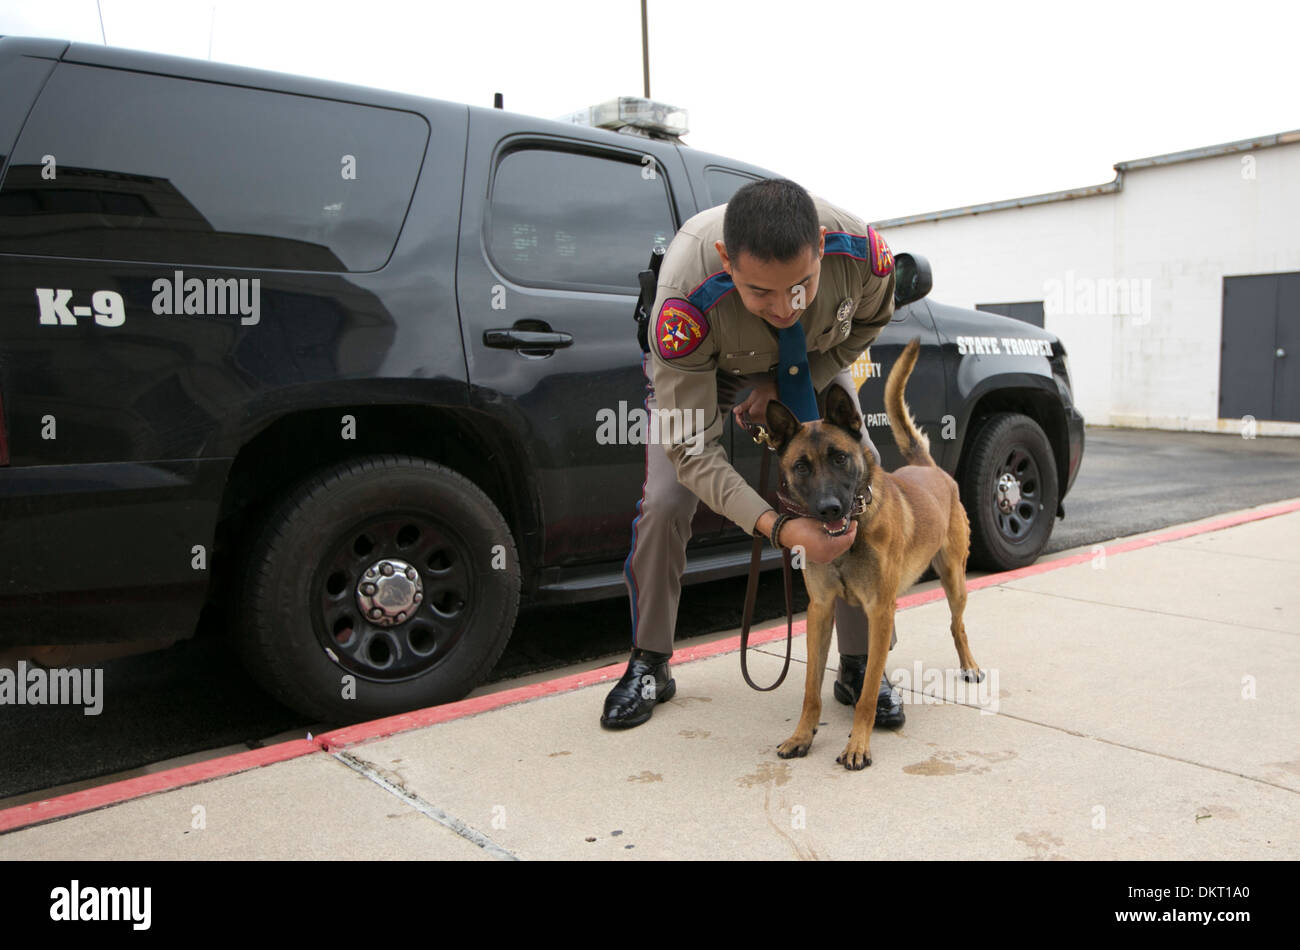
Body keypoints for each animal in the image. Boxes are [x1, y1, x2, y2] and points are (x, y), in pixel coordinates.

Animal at [764, 337, 977, 769]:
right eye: (801, 466)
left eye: (840, 457)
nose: (829, 509)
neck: (853, 532)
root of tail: (930, 469)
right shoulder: (820, 610)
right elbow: (810, 689)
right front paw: (802, 736)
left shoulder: (880, 610)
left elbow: (865, 695)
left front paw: (858, 744)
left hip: (954, 579)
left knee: (957, 624)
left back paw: (970, 666)